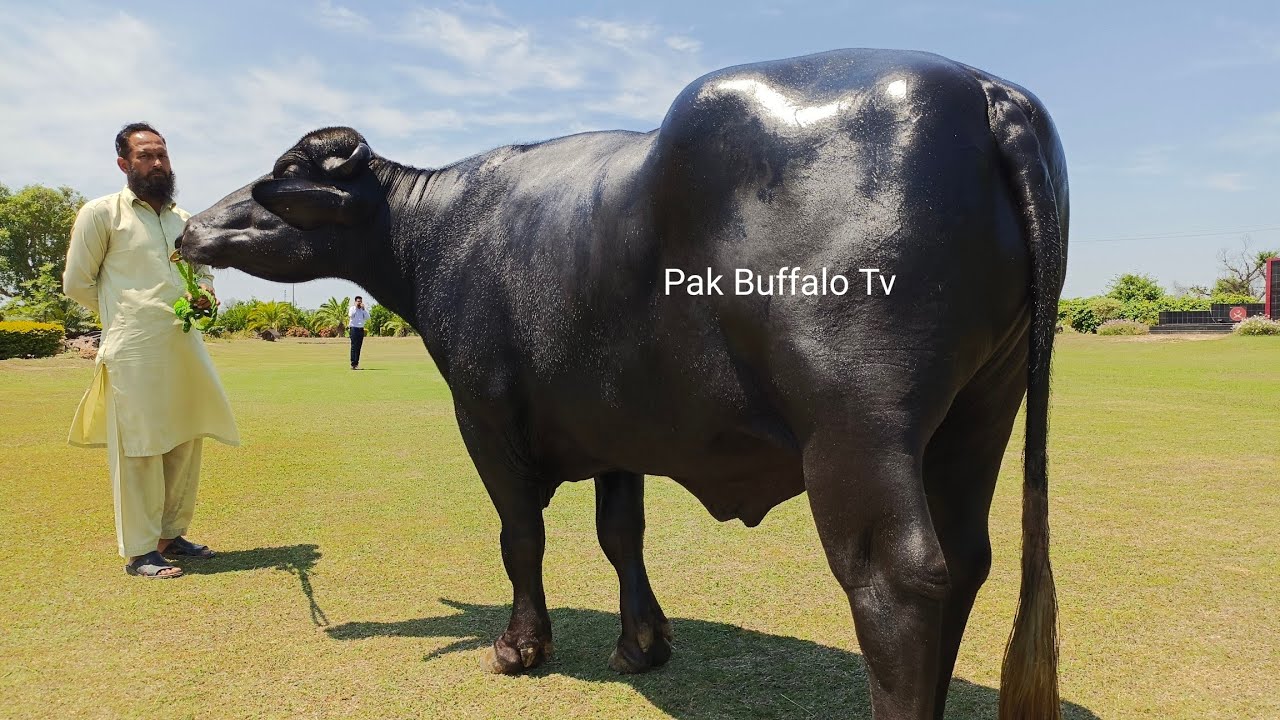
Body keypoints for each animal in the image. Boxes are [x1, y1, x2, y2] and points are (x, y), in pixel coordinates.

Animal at [179, 48, 1069, 720]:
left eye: (281, 176)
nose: (191, 228)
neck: (436, 232)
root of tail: (986, 94)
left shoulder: (483, 418)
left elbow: (520, 535)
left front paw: (520, 646)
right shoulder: (615, 427)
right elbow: (621, 534)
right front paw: (643, 643)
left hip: (858, 427)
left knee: (900, 577)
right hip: (980, 413)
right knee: (968, 557)